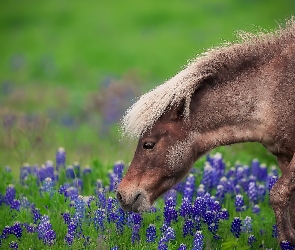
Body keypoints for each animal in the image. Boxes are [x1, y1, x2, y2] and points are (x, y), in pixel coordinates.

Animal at [117, 19, 295, 244]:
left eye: (149, 144)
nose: (121, 195)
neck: (272, 92)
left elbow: (278, 194)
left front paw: (287, 239)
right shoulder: (283, 154)